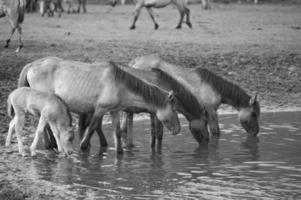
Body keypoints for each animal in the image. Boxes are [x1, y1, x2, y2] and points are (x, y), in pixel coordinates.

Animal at [17, 57, 180, 154]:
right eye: (174, 109)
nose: (178, 130)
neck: (119, 85)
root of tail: (32, 64)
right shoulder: (100, 109)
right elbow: (92, 128)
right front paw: (83, 146)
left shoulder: (115, 111)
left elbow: (118, 132)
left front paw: (119, 152)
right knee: (43, 124)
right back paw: (49, 144)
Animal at [129, 54, 260, 137]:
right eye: (254, 114)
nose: (256, 132)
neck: (212, 87)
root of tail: (134, 63)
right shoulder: (210, 110)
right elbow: (215, 132)